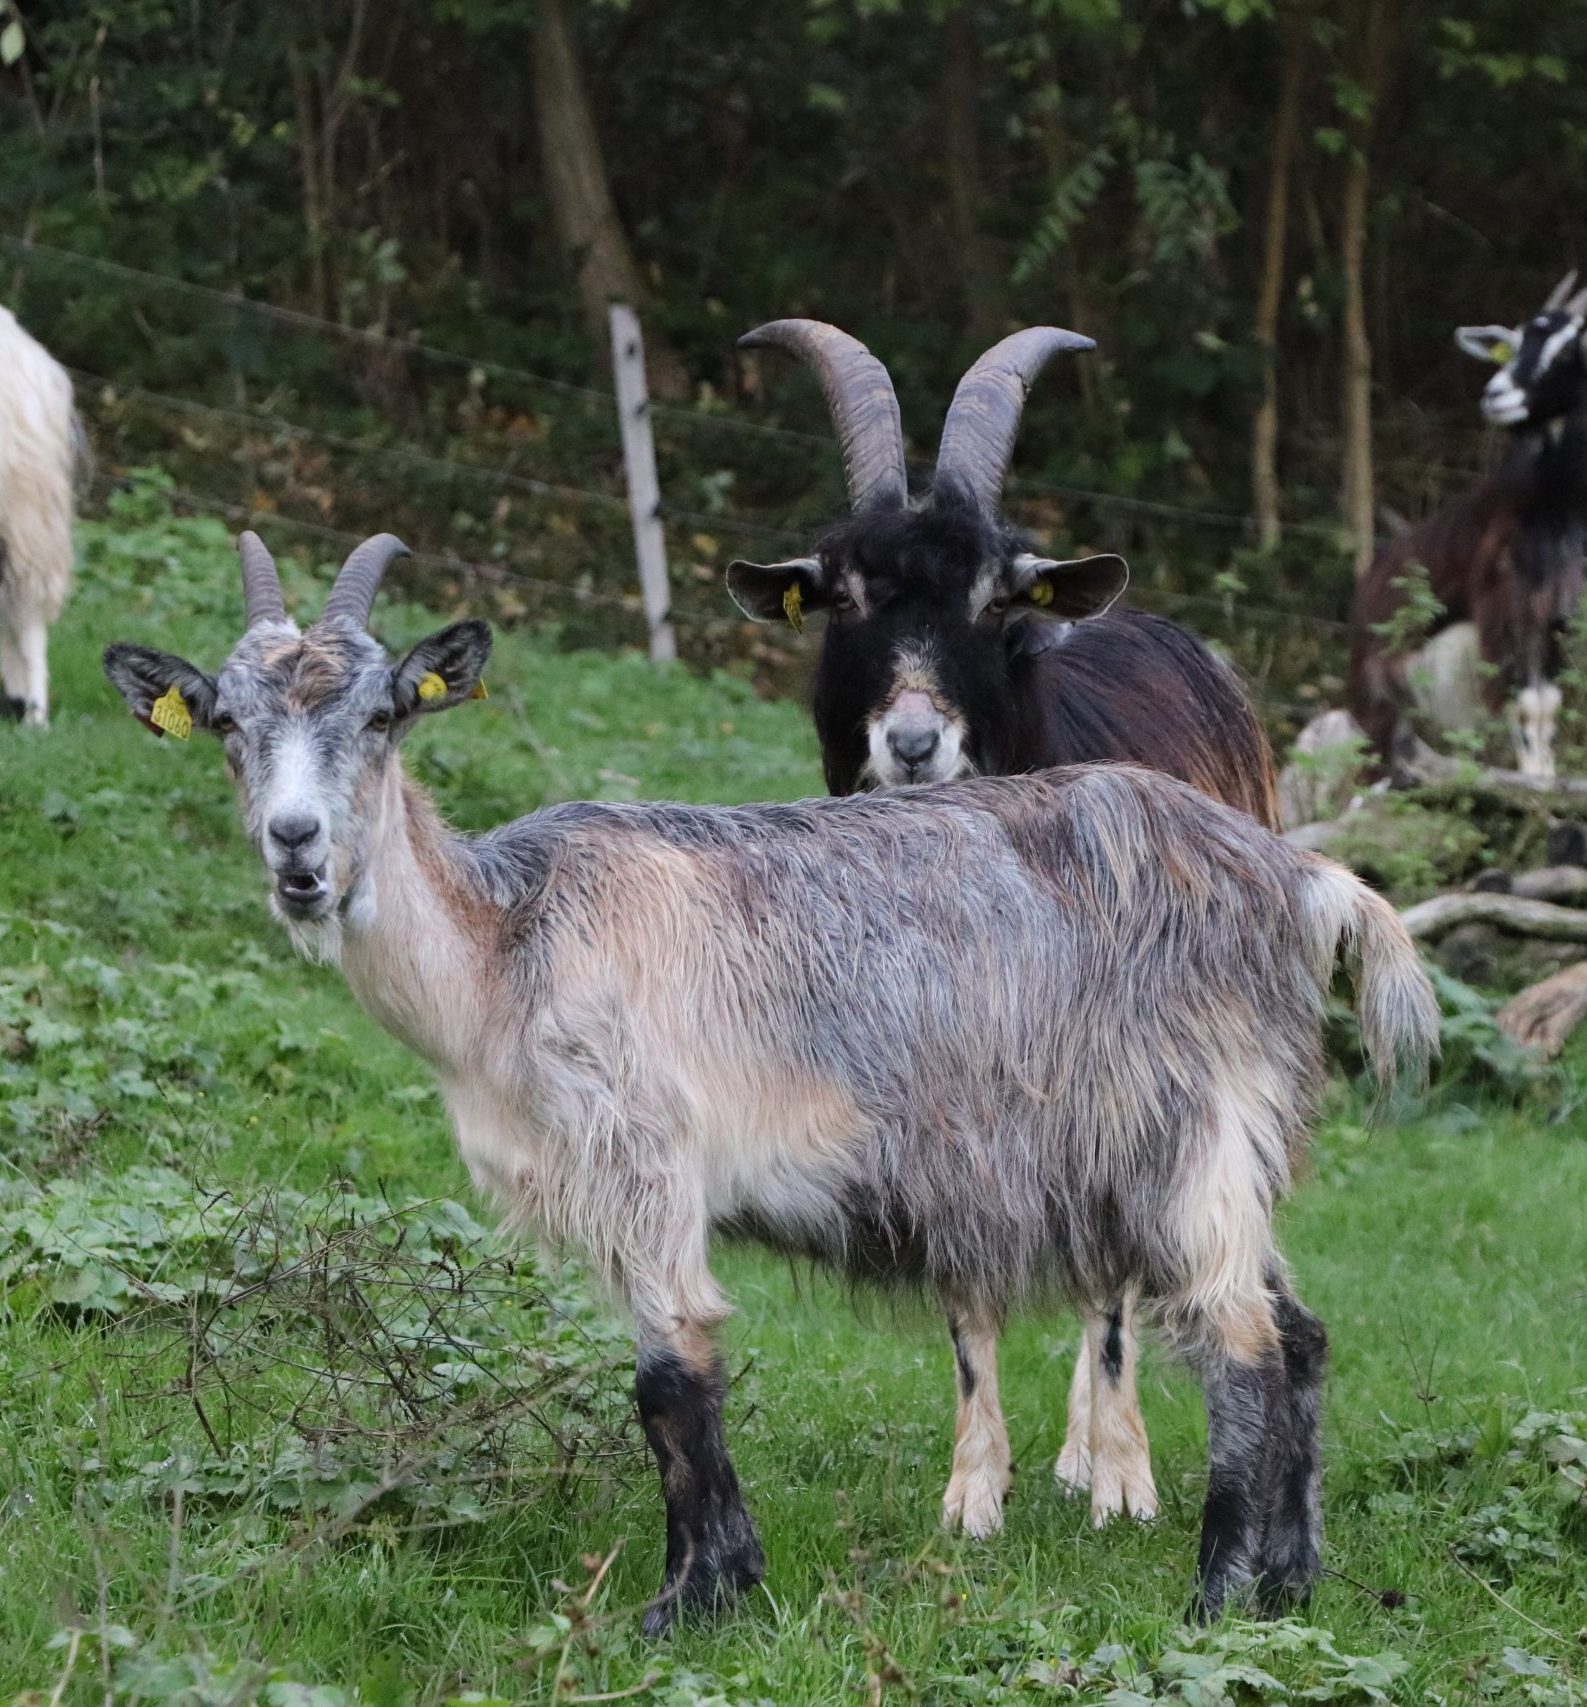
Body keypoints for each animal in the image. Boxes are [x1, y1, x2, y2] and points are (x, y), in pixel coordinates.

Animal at [106, 533, 1437, 1630]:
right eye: (227, 724)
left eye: (384, 715)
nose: (298, 849)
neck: (507, 946)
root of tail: (1306, 881)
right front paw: (722, 1582)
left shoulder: (646, 1155)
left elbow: (670, 1377)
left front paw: (689, 1604)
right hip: (1228, 1149)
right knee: (1301, 1331)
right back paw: (1290, 1585)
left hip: (1187, 1136)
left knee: (1243, 1342)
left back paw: (1214, 1597)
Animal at [726, 320, 1280, 1530]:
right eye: (841, 597)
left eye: (993, 598)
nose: (913, 741)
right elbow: (964, 1286)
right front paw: (973, 1491)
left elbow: (1111, 1282)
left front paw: (1118, 1480)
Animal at [1351, 270, 1587, 782]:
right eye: (1517, 342)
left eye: (1570, 348)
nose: (1496, 394)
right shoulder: (1507, 605)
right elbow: (1527, 703)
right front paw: (1534, 777)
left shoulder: (1557, 613)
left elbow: (1549, 702)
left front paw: (1545, 774)